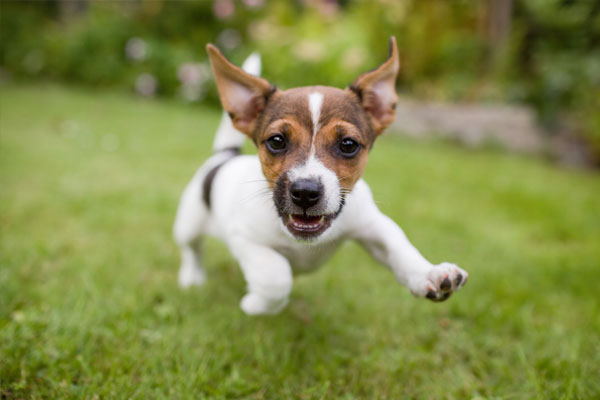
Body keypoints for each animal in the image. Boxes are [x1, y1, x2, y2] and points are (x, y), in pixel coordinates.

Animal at [173, 37, 468, 314]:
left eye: (348, 145)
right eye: (276, 141)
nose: (305, 192)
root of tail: (225, 155)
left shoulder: (373, 225)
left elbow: (400, 247)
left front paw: (429, 274)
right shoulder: (244, 238)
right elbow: (276, 276)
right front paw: (255, 304)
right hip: (188, 221)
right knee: (191, 249)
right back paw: (192, 277)